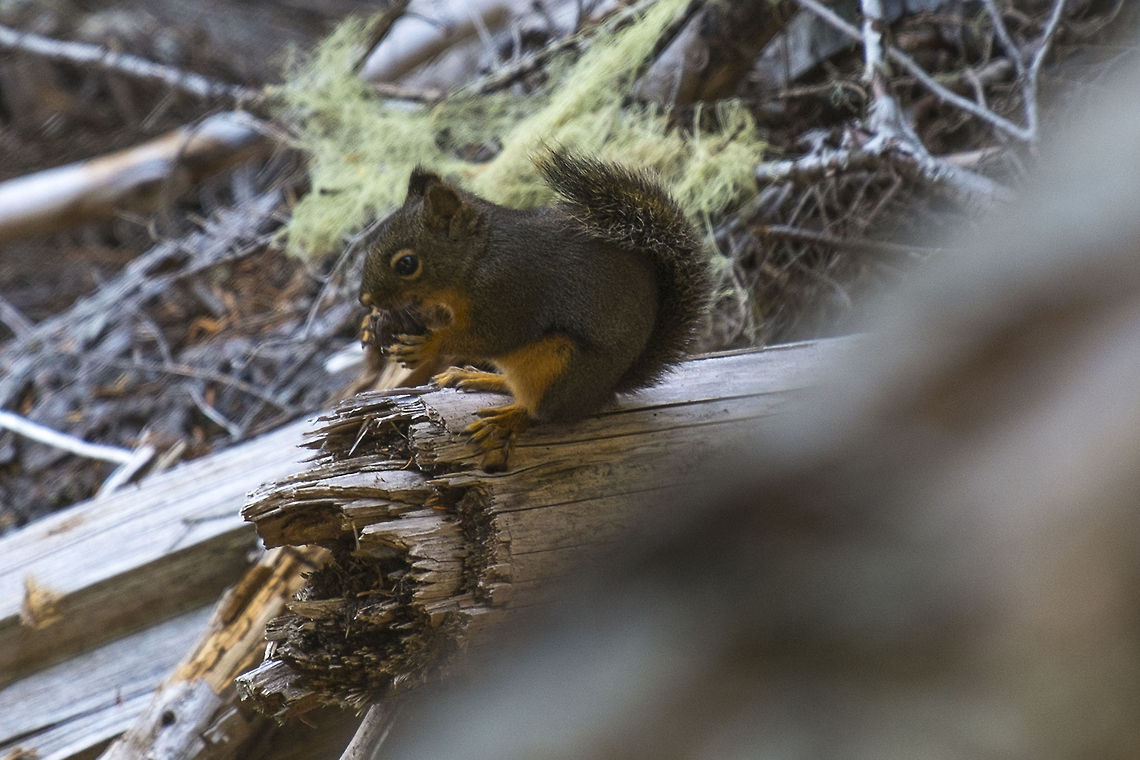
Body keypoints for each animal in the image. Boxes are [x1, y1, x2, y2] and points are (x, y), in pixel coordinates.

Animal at [359, 148, 711, 471]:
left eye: (407, 264)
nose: (366, 299)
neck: (478, 256)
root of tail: (604, 391)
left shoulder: (510, 293)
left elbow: (492, 336)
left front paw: (429, 344)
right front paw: (373, 321)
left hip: (559, 365)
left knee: (542, 412)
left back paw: (507, 419)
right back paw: (478, 376)